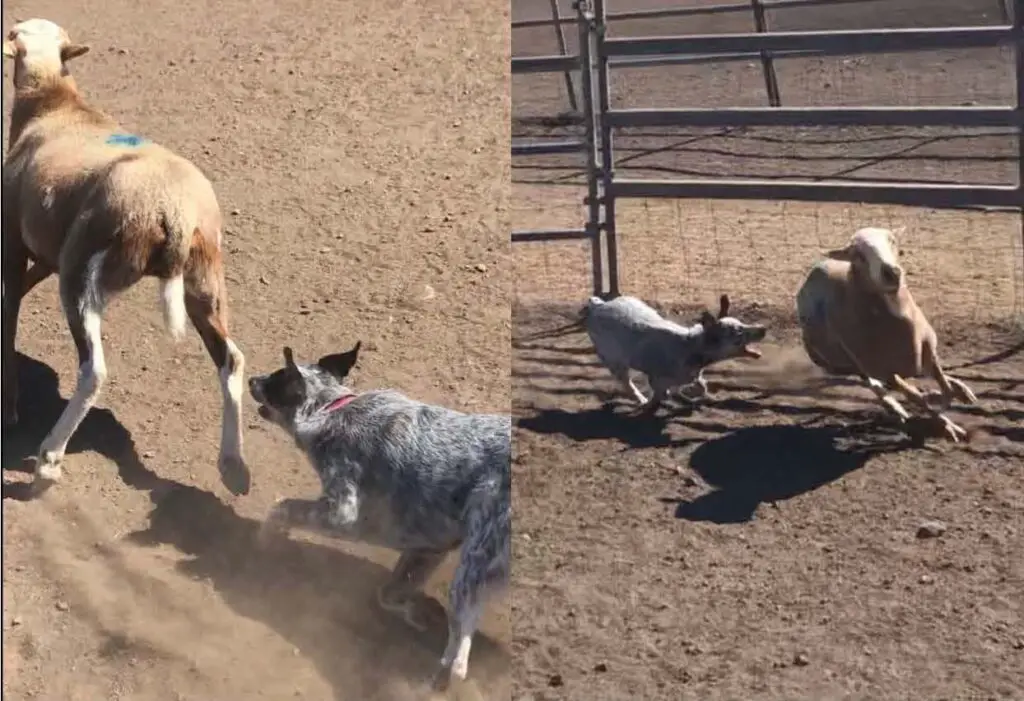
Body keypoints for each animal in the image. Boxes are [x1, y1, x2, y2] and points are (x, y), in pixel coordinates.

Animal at [243, 341, 507, 691]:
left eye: (276, 378)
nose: (250, 379)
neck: (330, 409)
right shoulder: (428, 547)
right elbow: (390, 592)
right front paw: (414, 613)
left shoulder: (343, 512)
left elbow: (282, 508)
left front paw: (265, 540)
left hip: (472, 566)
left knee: (458, 659)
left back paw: (437, 679)